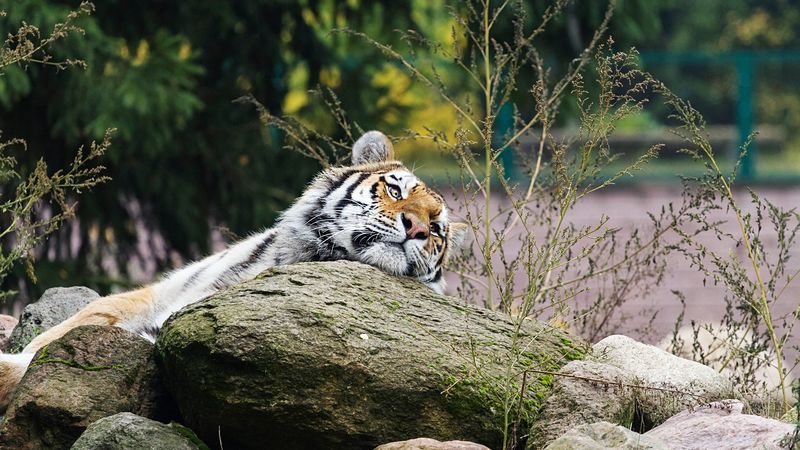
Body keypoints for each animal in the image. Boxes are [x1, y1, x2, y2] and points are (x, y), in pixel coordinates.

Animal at [0, 130, 467, 409]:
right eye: (395, 191)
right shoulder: (159, 294)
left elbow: (24, 367)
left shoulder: (162, 335)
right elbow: (76, 322)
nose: (418, 229)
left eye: (437, 229)